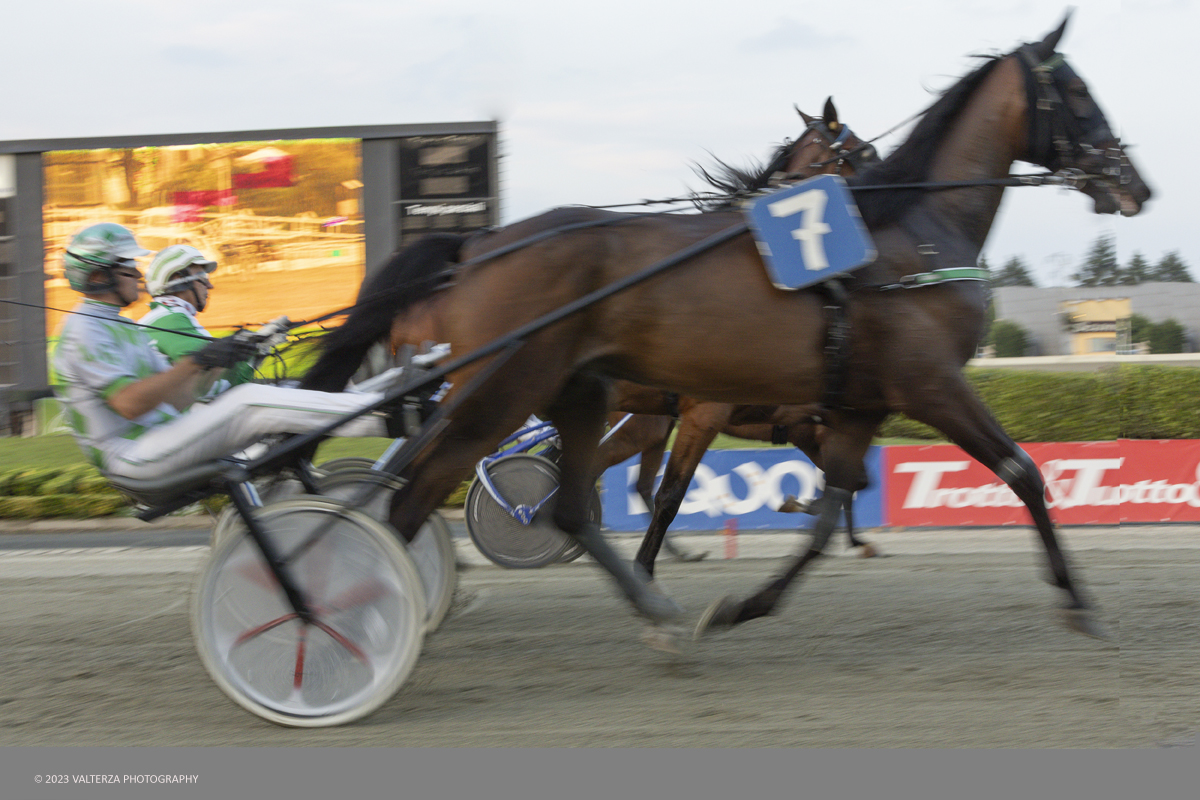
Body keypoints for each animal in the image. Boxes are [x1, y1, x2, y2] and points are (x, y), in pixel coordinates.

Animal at [304, 17, 1147, 638]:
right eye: (1078, 93)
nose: (1133, 183)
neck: (909, 237)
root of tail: (475, 247)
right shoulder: (918, 385)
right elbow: (1020, 471)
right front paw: (1078, 601)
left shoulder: (848, 401)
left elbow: (836, 495)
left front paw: (752, 595)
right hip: (507, 387)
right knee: (439, 485)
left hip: (576, 393)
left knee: (563, 493)